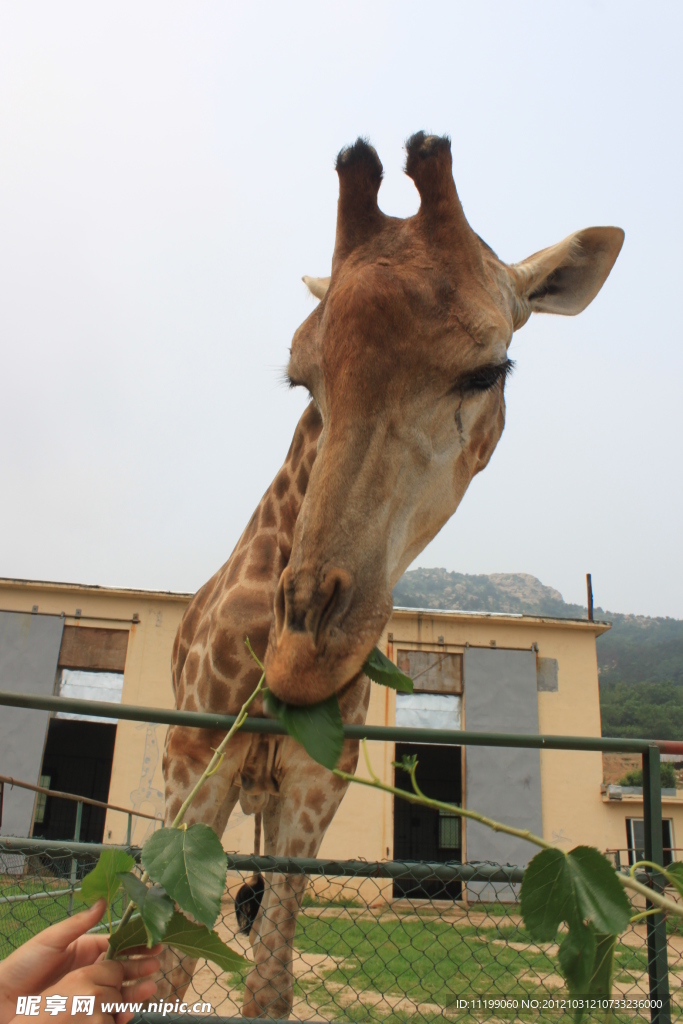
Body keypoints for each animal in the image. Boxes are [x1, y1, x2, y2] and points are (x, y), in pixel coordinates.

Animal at [161, 130, 626, 1015]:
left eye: (487, 370)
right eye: (301, 377)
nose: (301, 658)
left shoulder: (318, 777)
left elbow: (269, 981)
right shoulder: (196, 753)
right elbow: (151, 954)